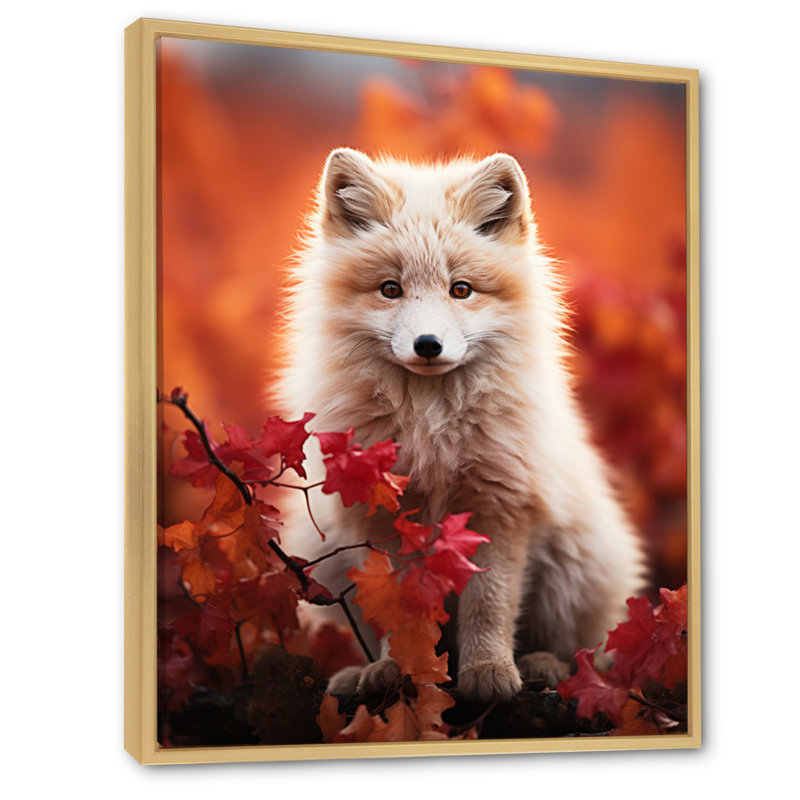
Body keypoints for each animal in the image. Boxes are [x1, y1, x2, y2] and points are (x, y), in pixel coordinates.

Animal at [277, 147, 646, 703]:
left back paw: (544, 667)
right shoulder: (385, 520)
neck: (431, 428)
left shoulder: (499, 507)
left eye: (461, 290)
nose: (428, 344)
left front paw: (488, 672)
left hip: (572, 567)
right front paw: (396, 670)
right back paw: (357, 675)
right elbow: (398, 612)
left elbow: (488, 605)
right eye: (391, 289)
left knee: (581, 650)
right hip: (330, 559)